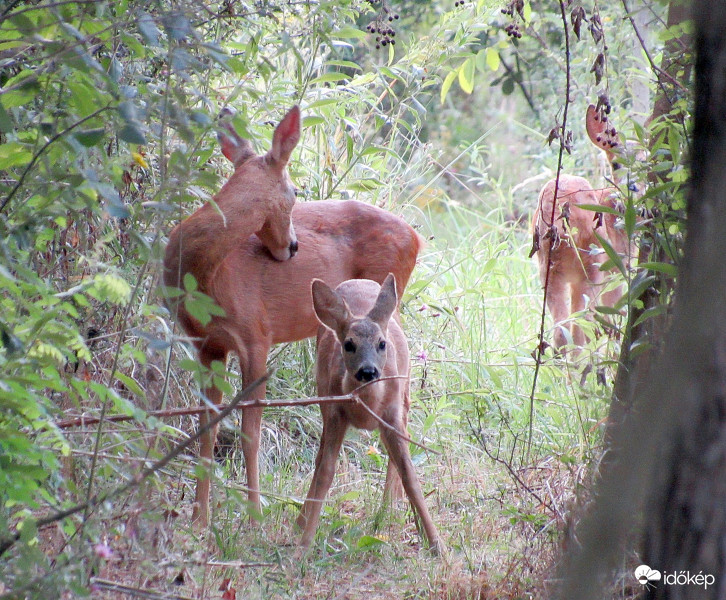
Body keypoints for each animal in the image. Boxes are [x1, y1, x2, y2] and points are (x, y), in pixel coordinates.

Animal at [162, 110, 424, 528]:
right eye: (296, 192)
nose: (293, 246)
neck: (208, 276)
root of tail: (417, 236)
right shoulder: (206, 344)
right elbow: (207, 427)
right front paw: (199, 519)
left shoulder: (255, 334)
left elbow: (250, 430)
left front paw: (254, 517)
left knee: (405, 399)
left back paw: (387, 509)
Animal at [298, 274, 444, 556]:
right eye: (348, 344)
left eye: (381, 343)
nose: (368, 371)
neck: (365, 406)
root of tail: (359, 280)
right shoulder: (335, 413)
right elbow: (325, 471)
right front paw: (304, 543)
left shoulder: (391, 415)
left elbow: (409, 474)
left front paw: (436, 544)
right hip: (323, 398)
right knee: (320, 456)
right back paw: (301, 517)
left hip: (405, 396)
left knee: (397, 455)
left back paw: (390, 509)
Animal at [532, 102, 644, 346]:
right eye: (616, 164)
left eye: (646, 161)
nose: (633, 187)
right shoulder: (616, 269)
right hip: (591, 263)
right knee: (580, 326)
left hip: (548, 268)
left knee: (562, 329)